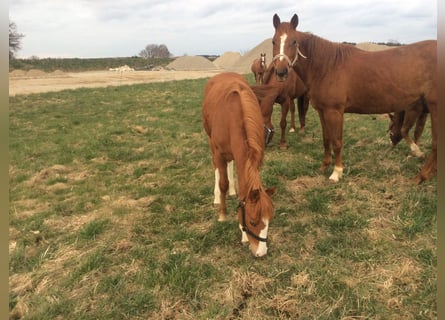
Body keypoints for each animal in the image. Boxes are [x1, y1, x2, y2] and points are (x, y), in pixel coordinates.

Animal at [201, 72, 274, 258]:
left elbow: (243, 188)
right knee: (218, 170)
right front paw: (222, 214)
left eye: (269, 220)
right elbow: (223, 182)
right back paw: (217, 197)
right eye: (253, 221)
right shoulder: (219, 153)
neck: (232, 118)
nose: (261, 252)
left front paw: (243, 234)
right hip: (211, 142)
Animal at [268, 13, 436, 184]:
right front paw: (324, 166)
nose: (281, 72)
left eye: (294, 41)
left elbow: (337, 141)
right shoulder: (322, 111)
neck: (327, 66)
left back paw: (420, 174)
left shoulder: (335, 111)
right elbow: (326, 138)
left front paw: (337, 172)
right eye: (273, 41)